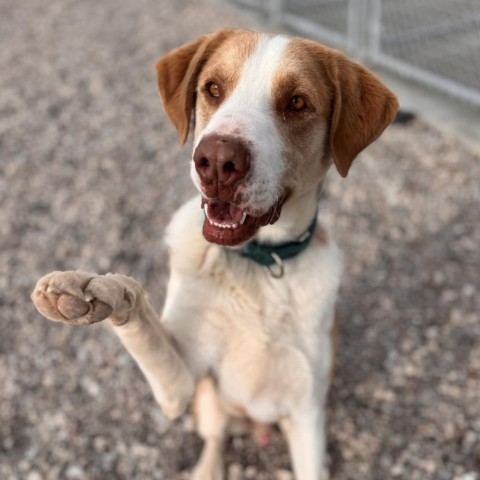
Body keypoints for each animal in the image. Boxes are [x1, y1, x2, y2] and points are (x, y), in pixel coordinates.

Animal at [31, 30, 398, 480]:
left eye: (297, 102)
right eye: (213, 89)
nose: (218, 161)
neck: (259, 266)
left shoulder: (308, 414)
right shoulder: (181, 383)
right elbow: (141, 323)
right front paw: (91, 289)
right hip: (208, 403)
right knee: (215, 438)